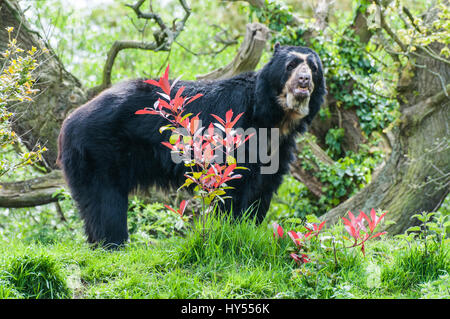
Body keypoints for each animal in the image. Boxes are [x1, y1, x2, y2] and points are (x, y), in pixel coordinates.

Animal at [58, 43, 326, 248]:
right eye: (291, 65)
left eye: (313, 67)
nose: (304, 80)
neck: (276, 117)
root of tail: (69, 121)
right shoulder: (235, 129)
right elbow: (233, 183)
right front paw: (232, 229)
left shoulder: (279, 147)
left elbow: (263, 188)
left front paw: (250, 228)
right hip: (100, 150)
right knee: (106, 201)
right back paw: (113, 243)